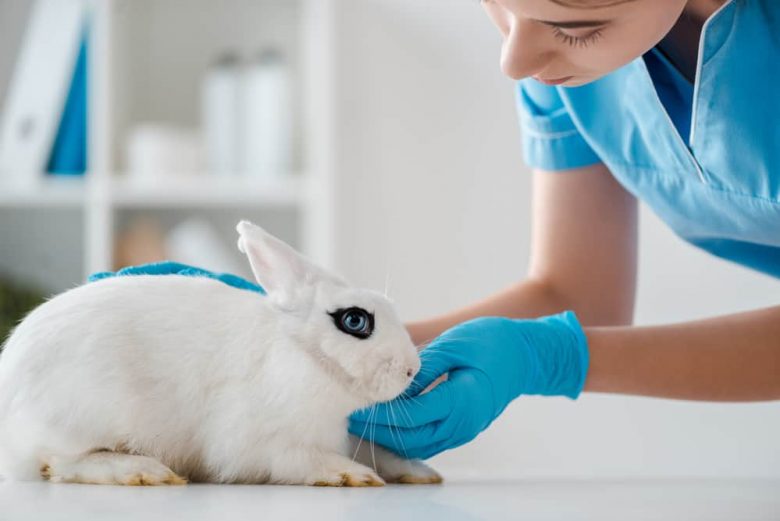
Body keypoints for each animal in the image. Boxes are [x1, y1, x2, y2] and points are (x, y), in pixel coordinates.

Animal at [0, 221, 441, 487]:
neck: (306, 355)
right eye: (355, 321)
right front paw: (352, 475)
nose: (411, 369)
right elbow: (301, 461)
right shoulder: (262, 444)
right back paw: (146, 471)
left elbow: (380, 453)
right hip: (83, 416)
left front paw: (419, 472)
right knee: (56, 463)